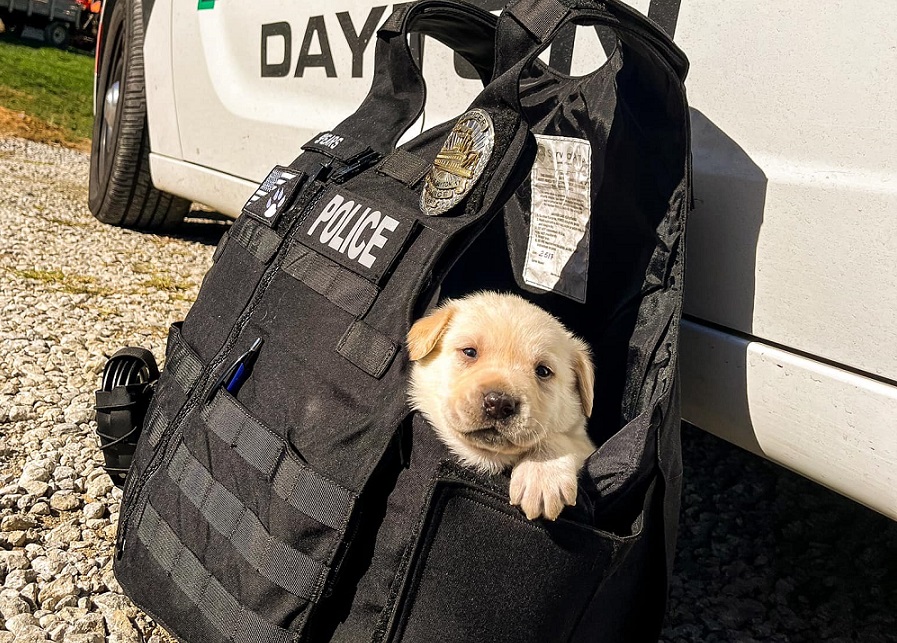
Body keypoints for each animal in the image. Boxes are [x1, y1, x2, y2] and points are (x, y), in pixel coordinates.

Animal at [406, 292, 596, 524]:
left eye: (543, 371)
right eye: (469, 352)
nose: (499, 403)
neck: (488, 457)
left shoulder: (585, 443)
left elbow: (561, 438)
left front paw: (542, 476)